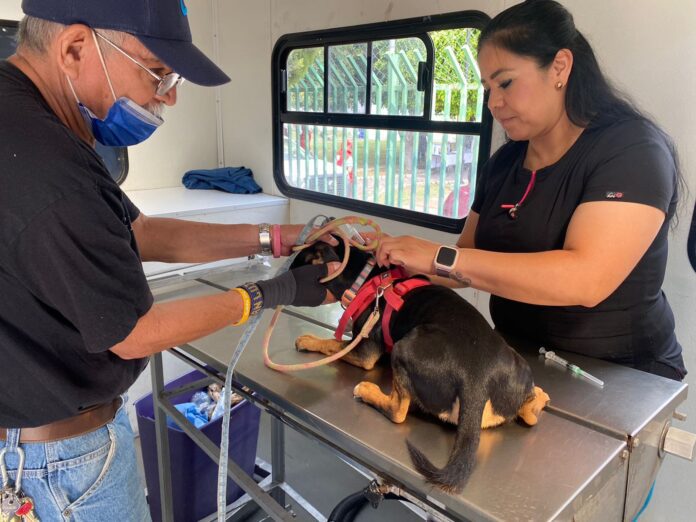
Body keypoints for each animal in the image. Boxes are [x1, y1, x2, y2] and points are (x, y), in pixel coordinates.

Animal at [290, 238, 550, 492]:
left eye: (295, 266)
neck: (365, 277)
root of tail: (477, 381)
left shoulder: (365, 351)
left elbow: (332, 344)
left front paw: (309, 340)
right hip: (519, 370)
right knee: (529, 414)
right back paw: (538, 398)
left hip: (402, 348)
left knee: (397, 410)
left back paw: (367, 391)